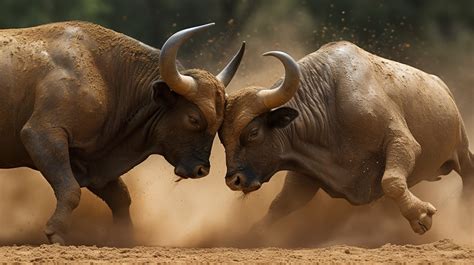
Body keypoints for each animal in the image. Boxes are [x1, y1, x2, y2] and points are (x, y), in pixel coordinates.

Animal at [0, 21, 244, 244]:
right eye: (193, 118)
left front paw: (125, 237)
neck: (107, 74)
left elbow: (120, 197)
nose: (201, 169)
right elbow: (70, 190)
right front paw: (56, 231)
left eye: (220, 123)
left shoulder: (91, 163)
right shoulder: (42, 135)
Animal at [220, 41, 472, 235]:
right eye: (222, 138)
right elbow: (282, 204)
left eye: (253, 132)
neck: (327, 106)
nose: (234, 180)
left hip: (461, 148)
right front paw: (255, 235)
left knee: (468, 171)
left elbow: (391, 181)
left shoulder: (402, 142)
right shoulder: (305, 175)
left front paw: (420, 215)